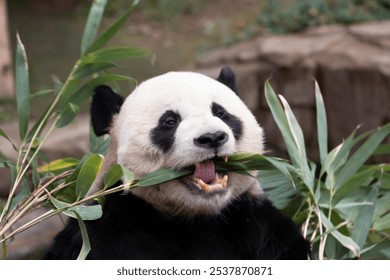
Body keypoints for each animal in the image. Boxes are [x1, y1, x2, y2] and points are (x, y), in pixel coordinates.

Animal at [44, 66, 310, 260]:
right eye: (170, 121)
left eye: (221, 113)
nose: (212, 137)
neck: (191, 221)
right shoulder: (103, 229)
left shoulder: (256, 226)